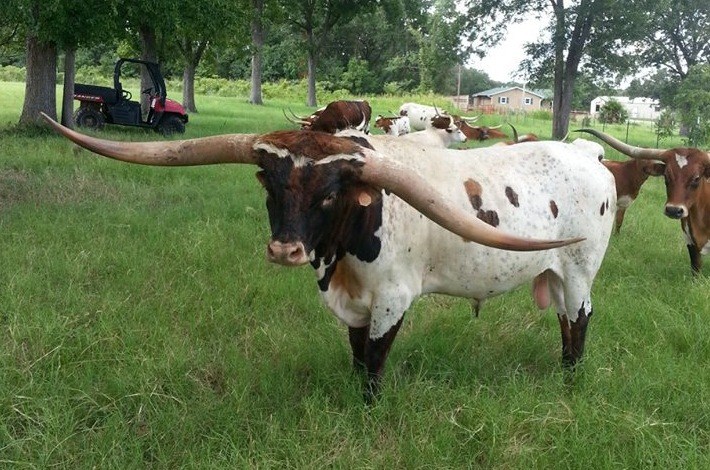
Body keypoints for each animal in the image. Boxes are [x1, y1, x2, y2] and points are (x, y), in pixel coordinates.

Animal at [41, 113, 616, 400]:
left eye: (327, 195)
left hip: (580, 270)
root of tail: (586, 154)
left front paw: (369, 409)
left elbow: (375, 363)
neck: (342, 250)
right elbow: (357, 354)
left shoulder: (392, 298)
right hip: (555, 274)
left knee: (581, 320)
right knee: (565, 321)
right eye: (272, 187)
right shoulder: (355, 304)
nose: (284, 249)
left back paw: (571, 382)